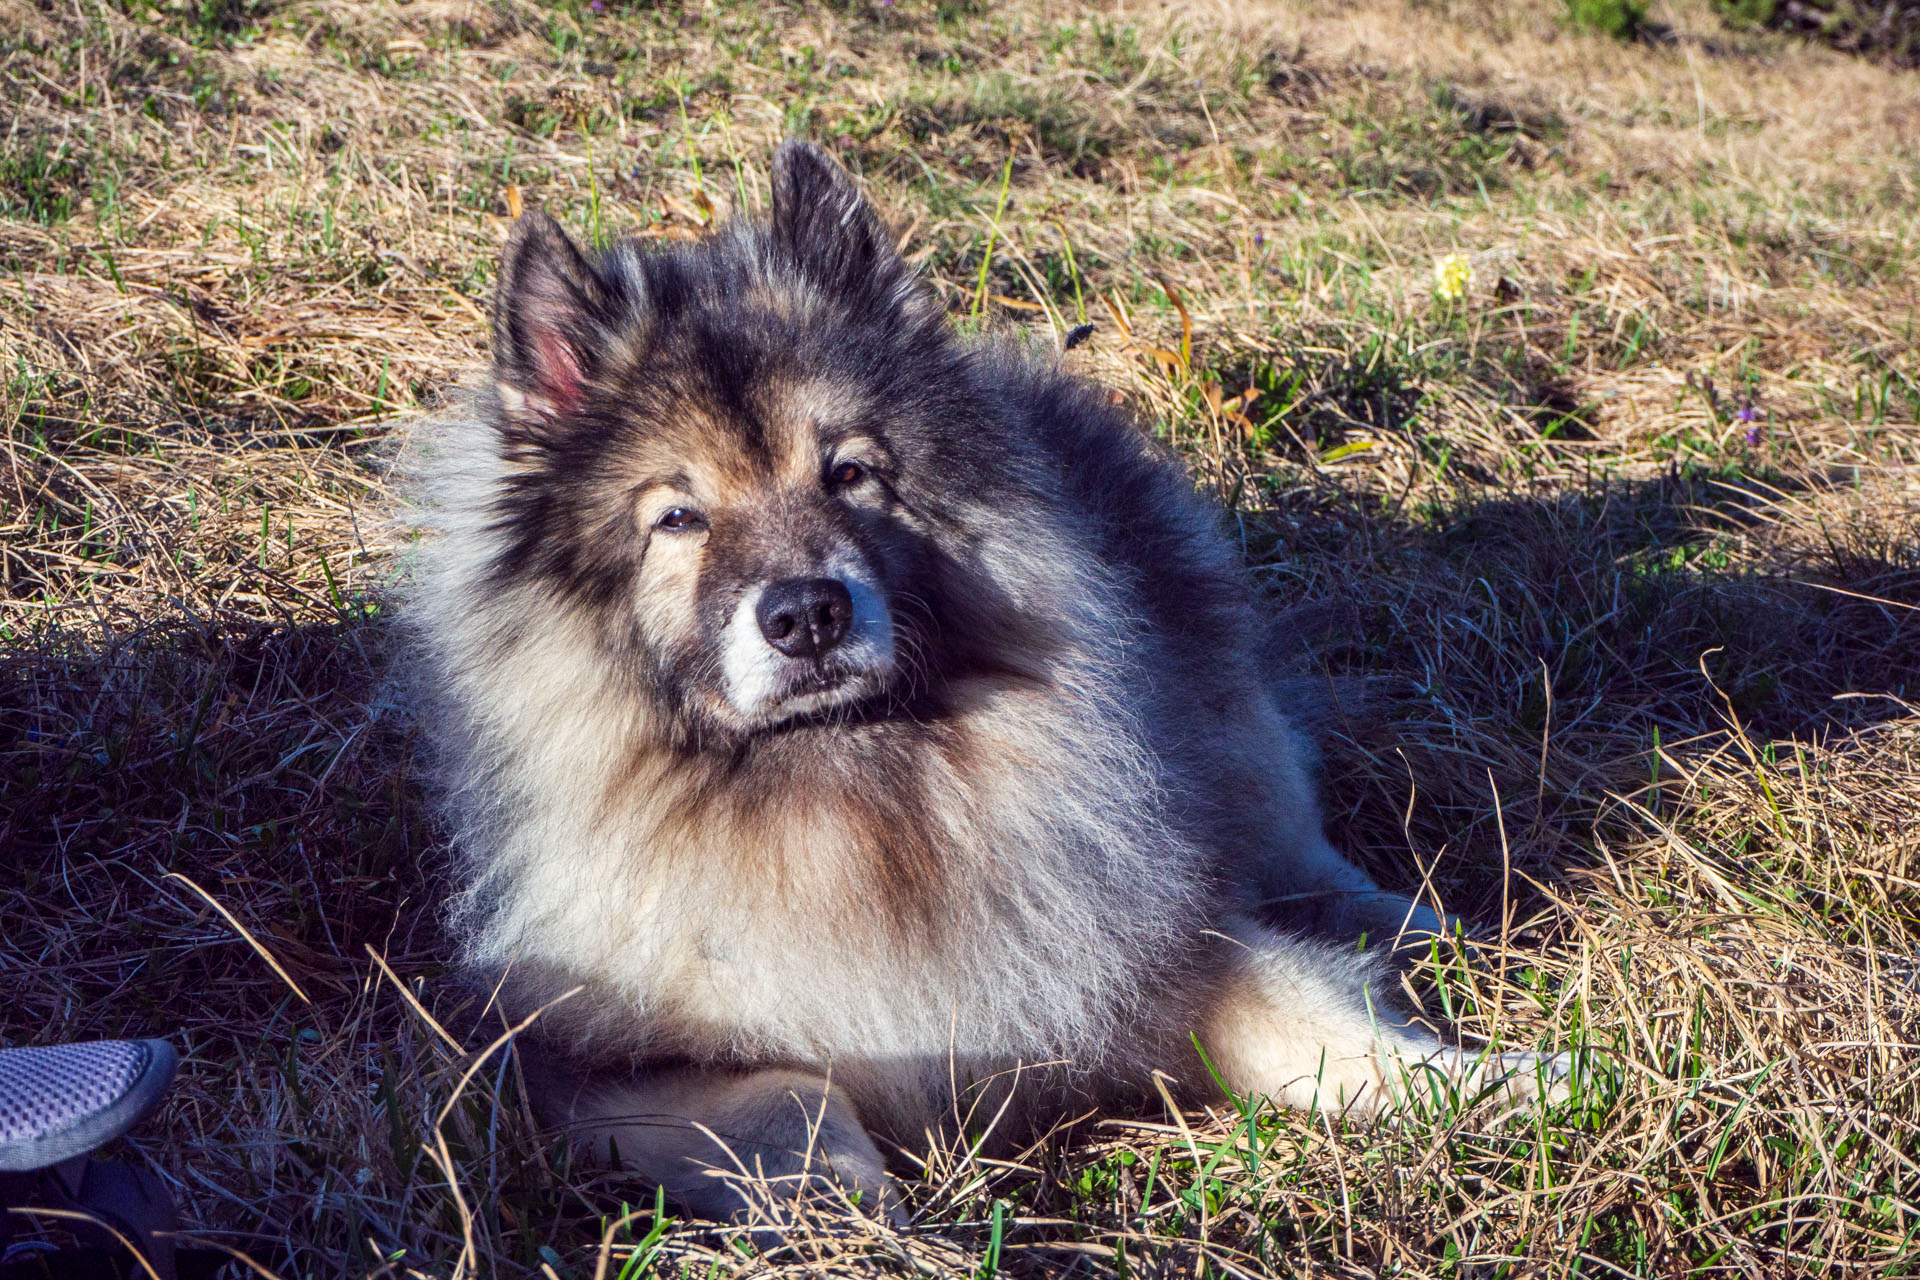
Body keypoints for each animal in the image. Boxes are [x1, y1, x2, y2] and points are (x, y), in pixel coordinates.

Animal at [401, 142, 1559, 1228]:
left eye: (851, 474)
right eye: (678, 518)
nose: (808, 614)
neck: (850, 791)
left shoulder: (1157, 953)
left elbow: (1336, 1035)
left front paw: (1522, 1083)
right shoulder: (587, 1070)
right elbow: (794, 1098)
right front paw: (867, 1224)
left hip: (1231, 735)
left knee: (1300, 848)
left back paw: (1421, 925)